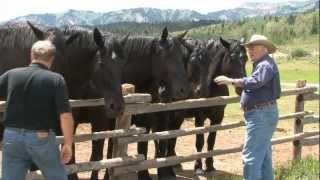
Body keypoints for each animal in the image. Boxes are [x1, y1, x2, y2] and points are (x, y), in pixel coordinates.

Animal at [166, 37, 249, 174]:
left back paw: (174, 162)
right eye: (232, 58)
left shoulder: (218, 117)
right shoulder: (200, 117)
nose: (241, 87)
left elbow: (211, 140)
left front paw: (210, 166)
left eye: (246, 58)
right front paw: (198, 167)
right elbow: (200, 141)